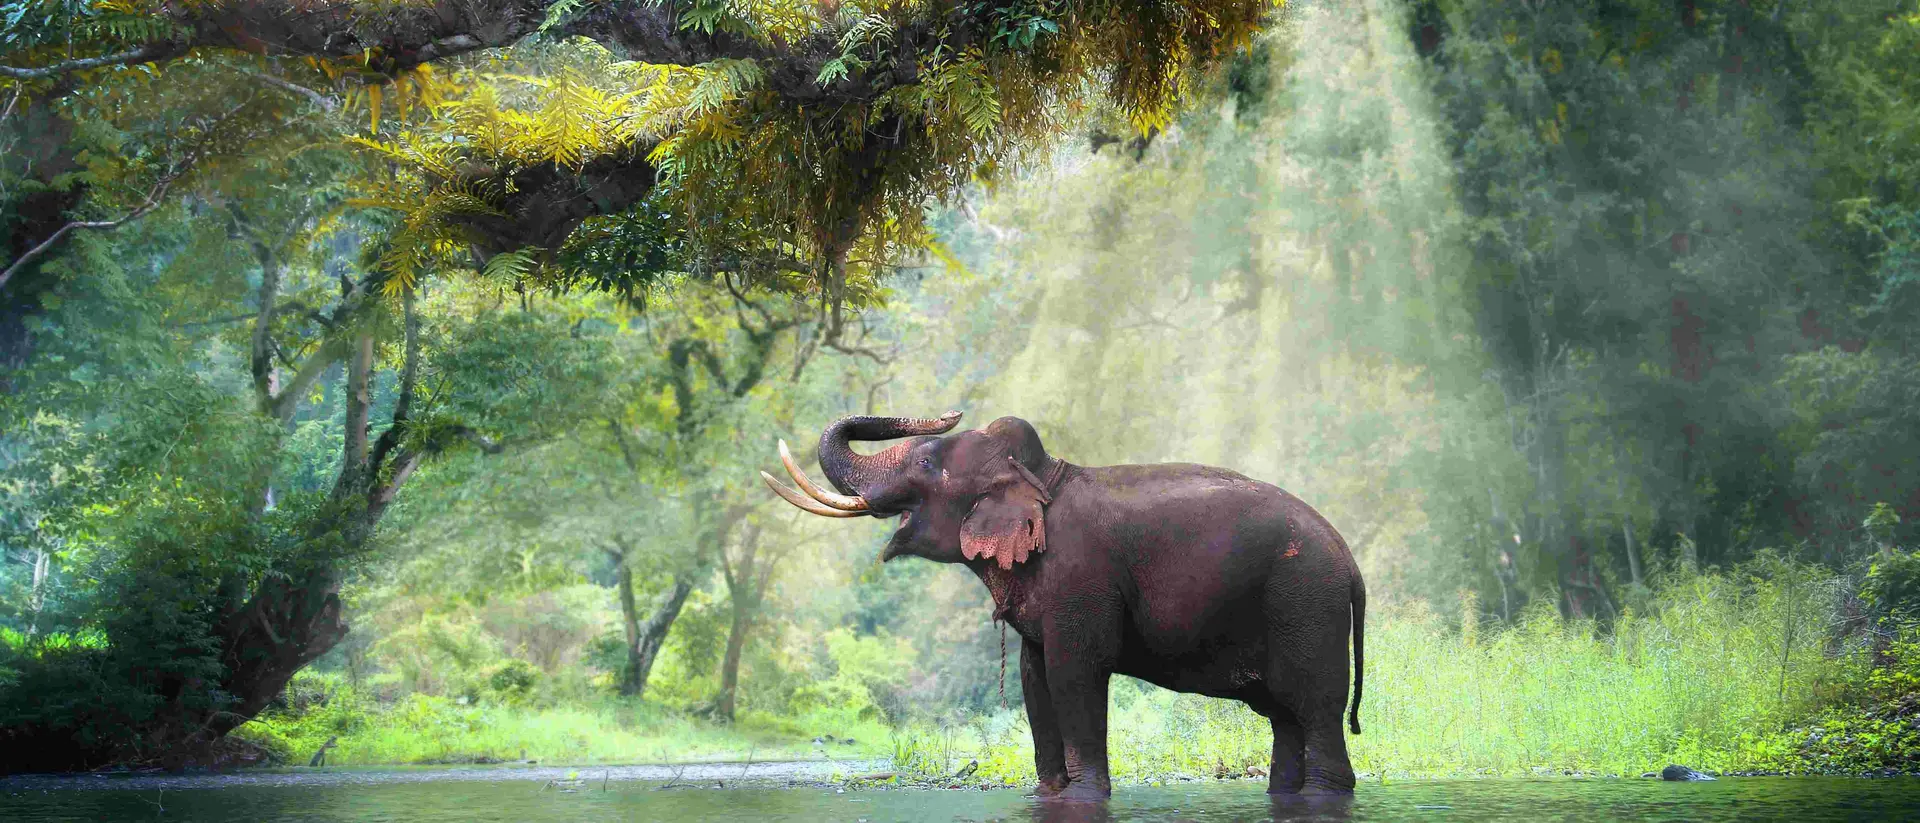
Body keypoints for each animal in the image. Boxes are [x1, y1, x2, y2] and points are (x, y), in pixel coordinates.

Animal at [760, 411, 1366, 800]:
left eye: (929, 463)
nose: (948, 412)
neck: (1043, 474)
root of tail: (1351, 563)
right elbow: (1035, 678)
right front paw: (1048, 792)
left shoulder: (1082, 578)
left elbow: (1076, 672)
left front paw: (1085, 795)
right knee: (1286, 719)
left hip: (1306, 603)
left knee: (1315, 710)